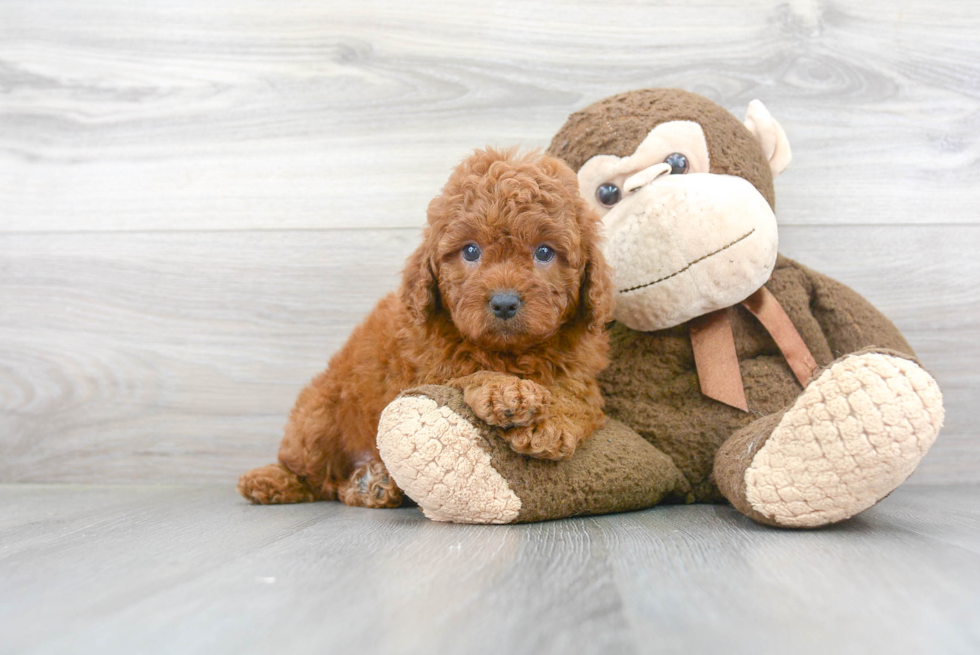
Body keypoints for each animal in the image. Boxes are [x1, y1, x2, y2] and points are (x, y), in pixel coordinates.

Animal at [237, 147, 612, 508]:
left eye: (544, 252)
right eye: (471, 251)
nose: (504, 303)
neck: (509, 352)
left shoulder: (580, 373)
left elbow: (574, 396)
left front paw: (548, 424)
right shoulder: (429, 368)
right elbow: (469, 372)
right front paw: (506, 390)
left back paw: (371, 485)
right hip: (319, 416)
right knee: (310, 472)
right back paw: (271, 481)